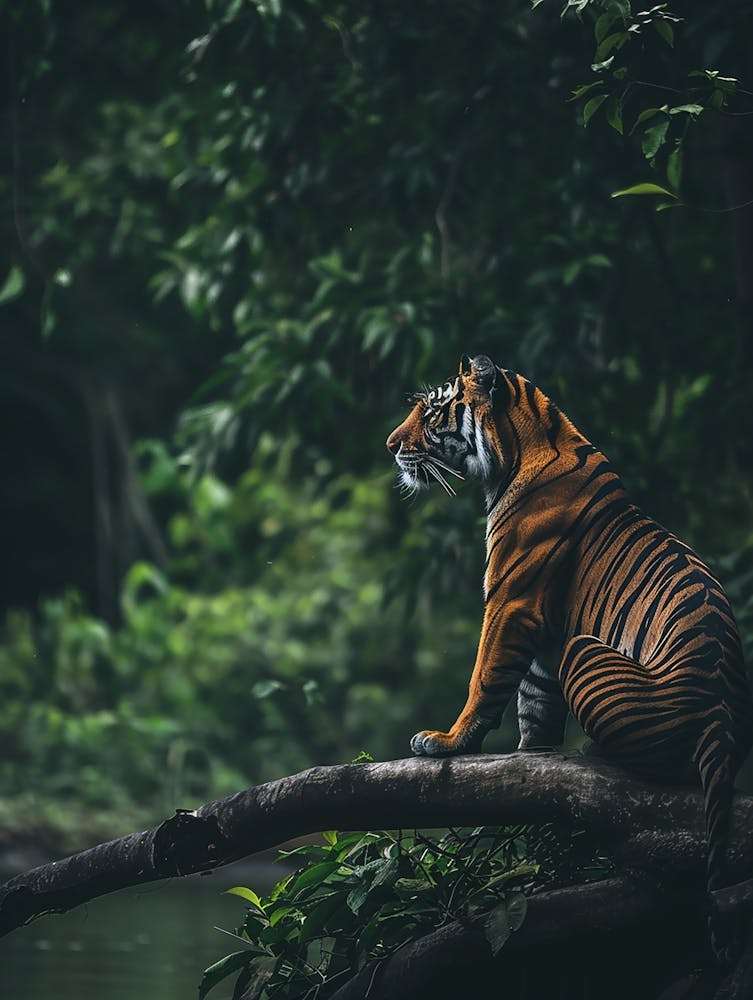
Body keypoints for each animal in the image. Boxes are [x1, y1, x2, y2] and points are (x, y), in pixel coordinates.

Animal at [386, 353, 753, 956]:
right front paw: (531, 763)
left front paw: (447, 742)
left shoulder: (511, 603)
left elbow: (484, 678)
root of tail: (721, 718)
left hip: (587, 651)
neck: (520, 448)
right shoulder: (545, 636)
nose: (392, 445)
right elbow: (534, 706)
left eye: (435, 409)